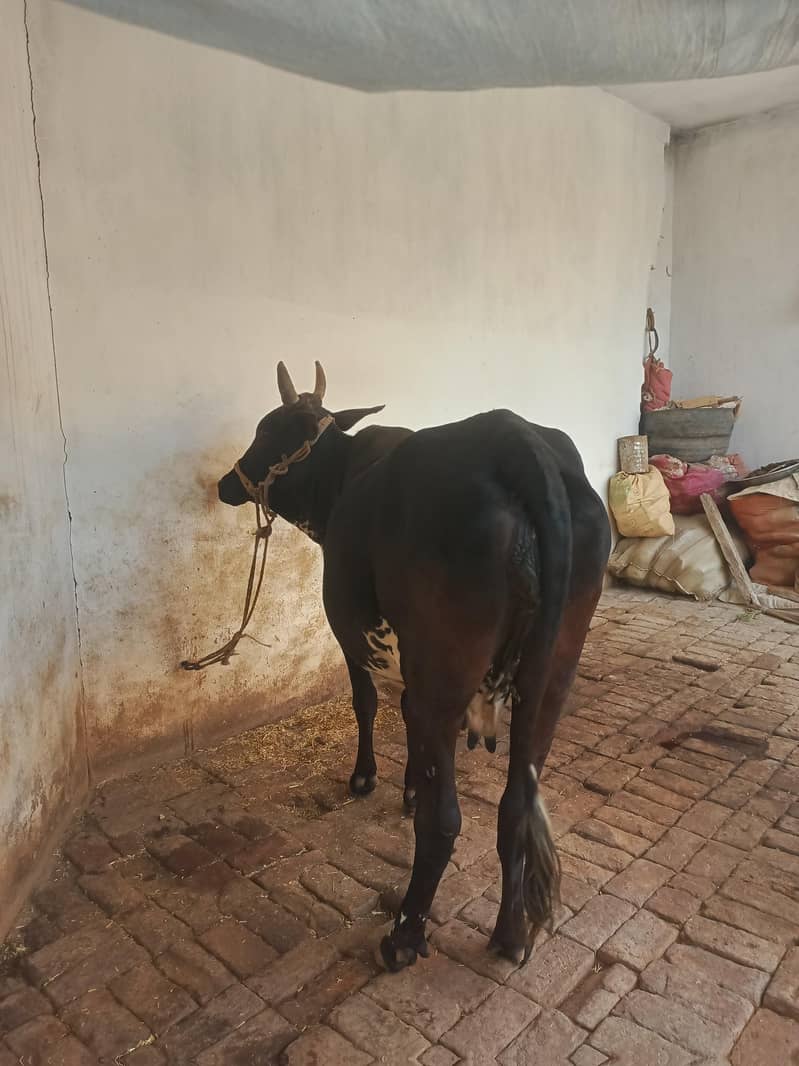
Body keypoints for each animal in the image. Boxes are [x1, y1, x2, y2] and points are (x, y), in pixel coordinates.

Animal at [217, 362, 610, 972]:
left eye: (267, 431)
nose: (225, 484)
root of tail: (516, 439)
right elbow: (402, 719)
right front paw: (406, 786)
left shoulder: (354, 639)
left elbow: (367, 703)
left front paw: (367, 778)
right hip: (550, 680)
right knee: (515, 806)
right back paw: (510, 933)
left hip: (445, 681)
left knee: (445, 820)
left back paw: (404, 935)